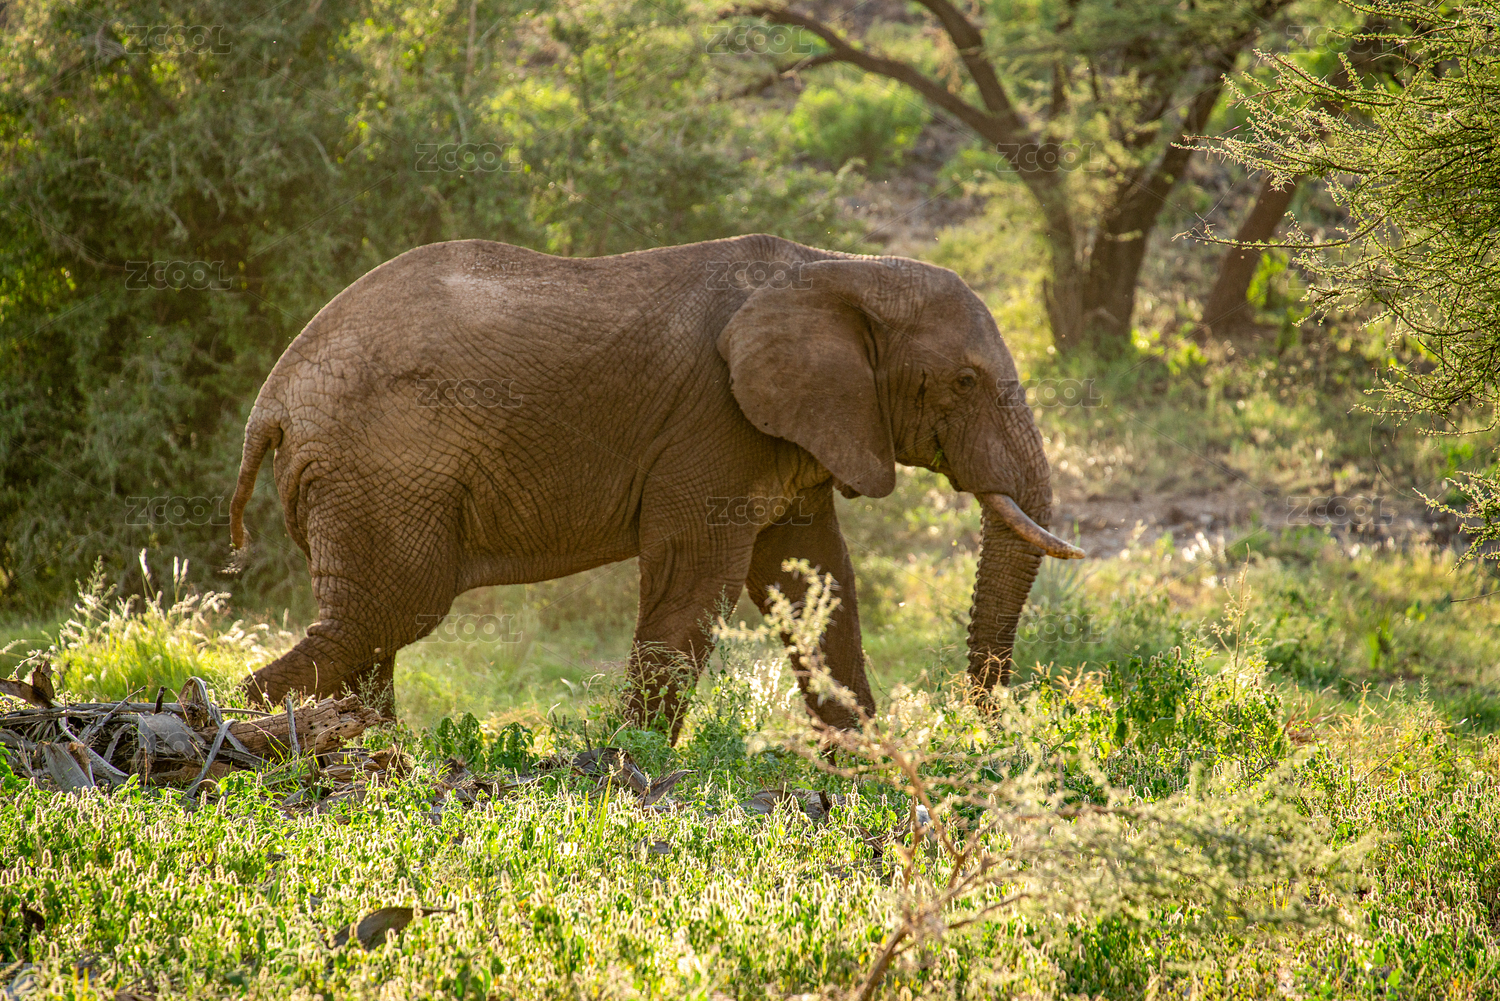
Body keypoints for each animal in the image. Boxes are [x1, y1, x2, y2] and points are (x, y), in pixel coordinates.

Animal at [229, 234, 1084, 737]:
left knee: (372, 629)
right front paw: (629, 768)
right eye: (965, 383)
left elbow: (815, 579)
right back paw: (237, 722)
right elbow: (700, 580)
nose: (983, 724)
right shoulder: (716, 423)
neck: (840, 267)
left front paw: (866, 760)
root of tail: (271, 402)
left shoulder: (791, 427)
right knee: (388, 612)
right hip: (382, 465)